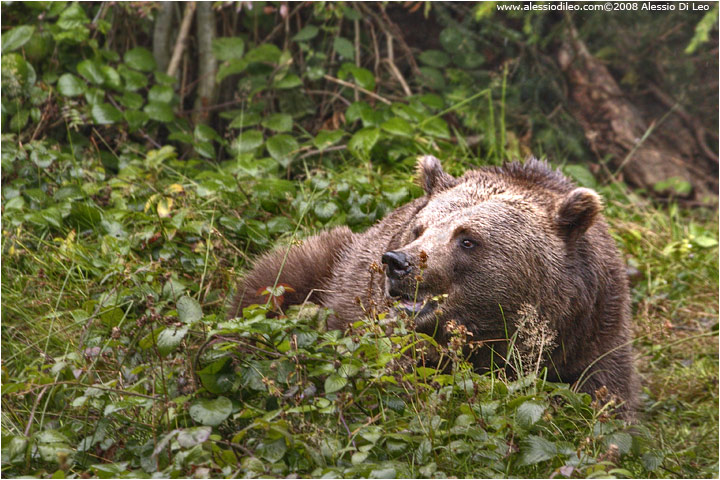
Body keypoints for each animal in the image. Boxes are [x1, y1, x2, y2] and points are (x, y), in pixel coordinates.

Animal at [229, 157, 636, 416]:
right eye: (419, 228)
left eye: (467, 239)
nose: (397, 263)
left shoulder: (594, 336)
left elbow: (607, 403)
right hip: (333, 265)